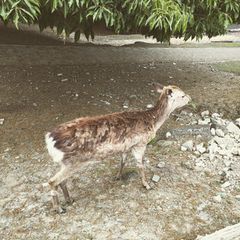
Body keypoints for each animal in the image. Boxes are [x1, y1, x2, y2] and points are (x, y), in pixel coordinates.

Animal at [43, 83, 191, 213]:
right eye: (182, 95)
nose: (190, 99)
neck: (153, 122)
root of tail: (49, 139)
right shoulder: (140, 144)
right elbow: (140, 166)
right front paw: (147, 185)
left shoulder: (126, 147)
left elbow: (122, 161)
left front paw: (118, 176)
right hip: (74, 161)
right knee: (52, 181)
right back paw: (59, 208)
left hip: (66, 162)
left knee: (61, 181)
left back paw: (69, 200)